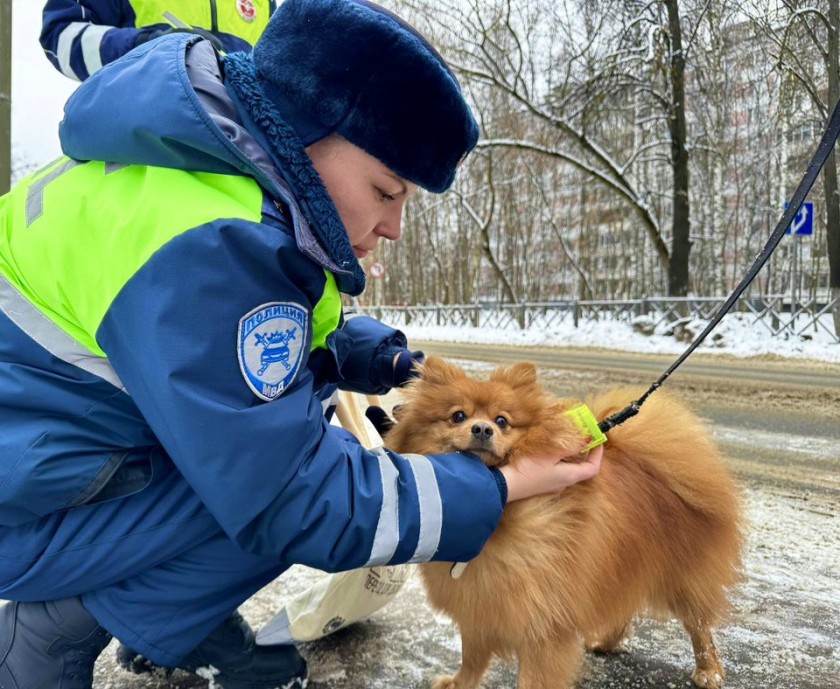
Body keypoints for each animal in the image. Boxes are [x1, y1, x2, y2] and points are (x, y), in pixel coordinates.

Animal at [384, 354, 744, 688]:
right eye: (458, 416)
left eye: (502, 421)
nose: (483, 429)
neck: (502, 514)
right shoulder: (478, 609)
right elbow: (471, 658)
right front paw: (460, 683)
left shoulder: (544, 625)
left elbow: (533, 679)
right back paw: (608, 642)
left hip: (680, 576)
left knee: (698, 624)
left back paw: (708, 669)